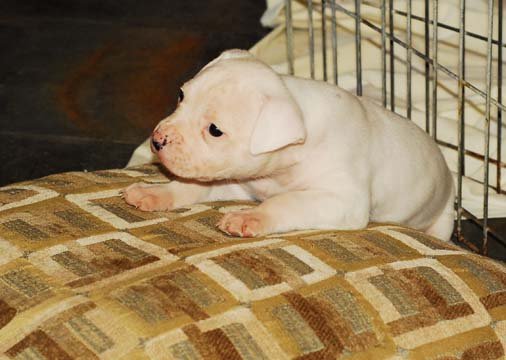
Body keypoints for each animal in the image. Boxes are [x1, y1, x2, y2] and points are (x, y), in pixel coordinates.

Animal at [122, 49, 454, 240]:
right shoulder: (238, 183)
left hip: (443, 219)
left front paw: (251, 217)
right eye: (181, 96)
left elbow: (287, 201)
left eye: (215, 130)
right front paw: (155, 193)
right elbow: (192, 186)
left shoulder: (341, 200)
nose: (156, 140)